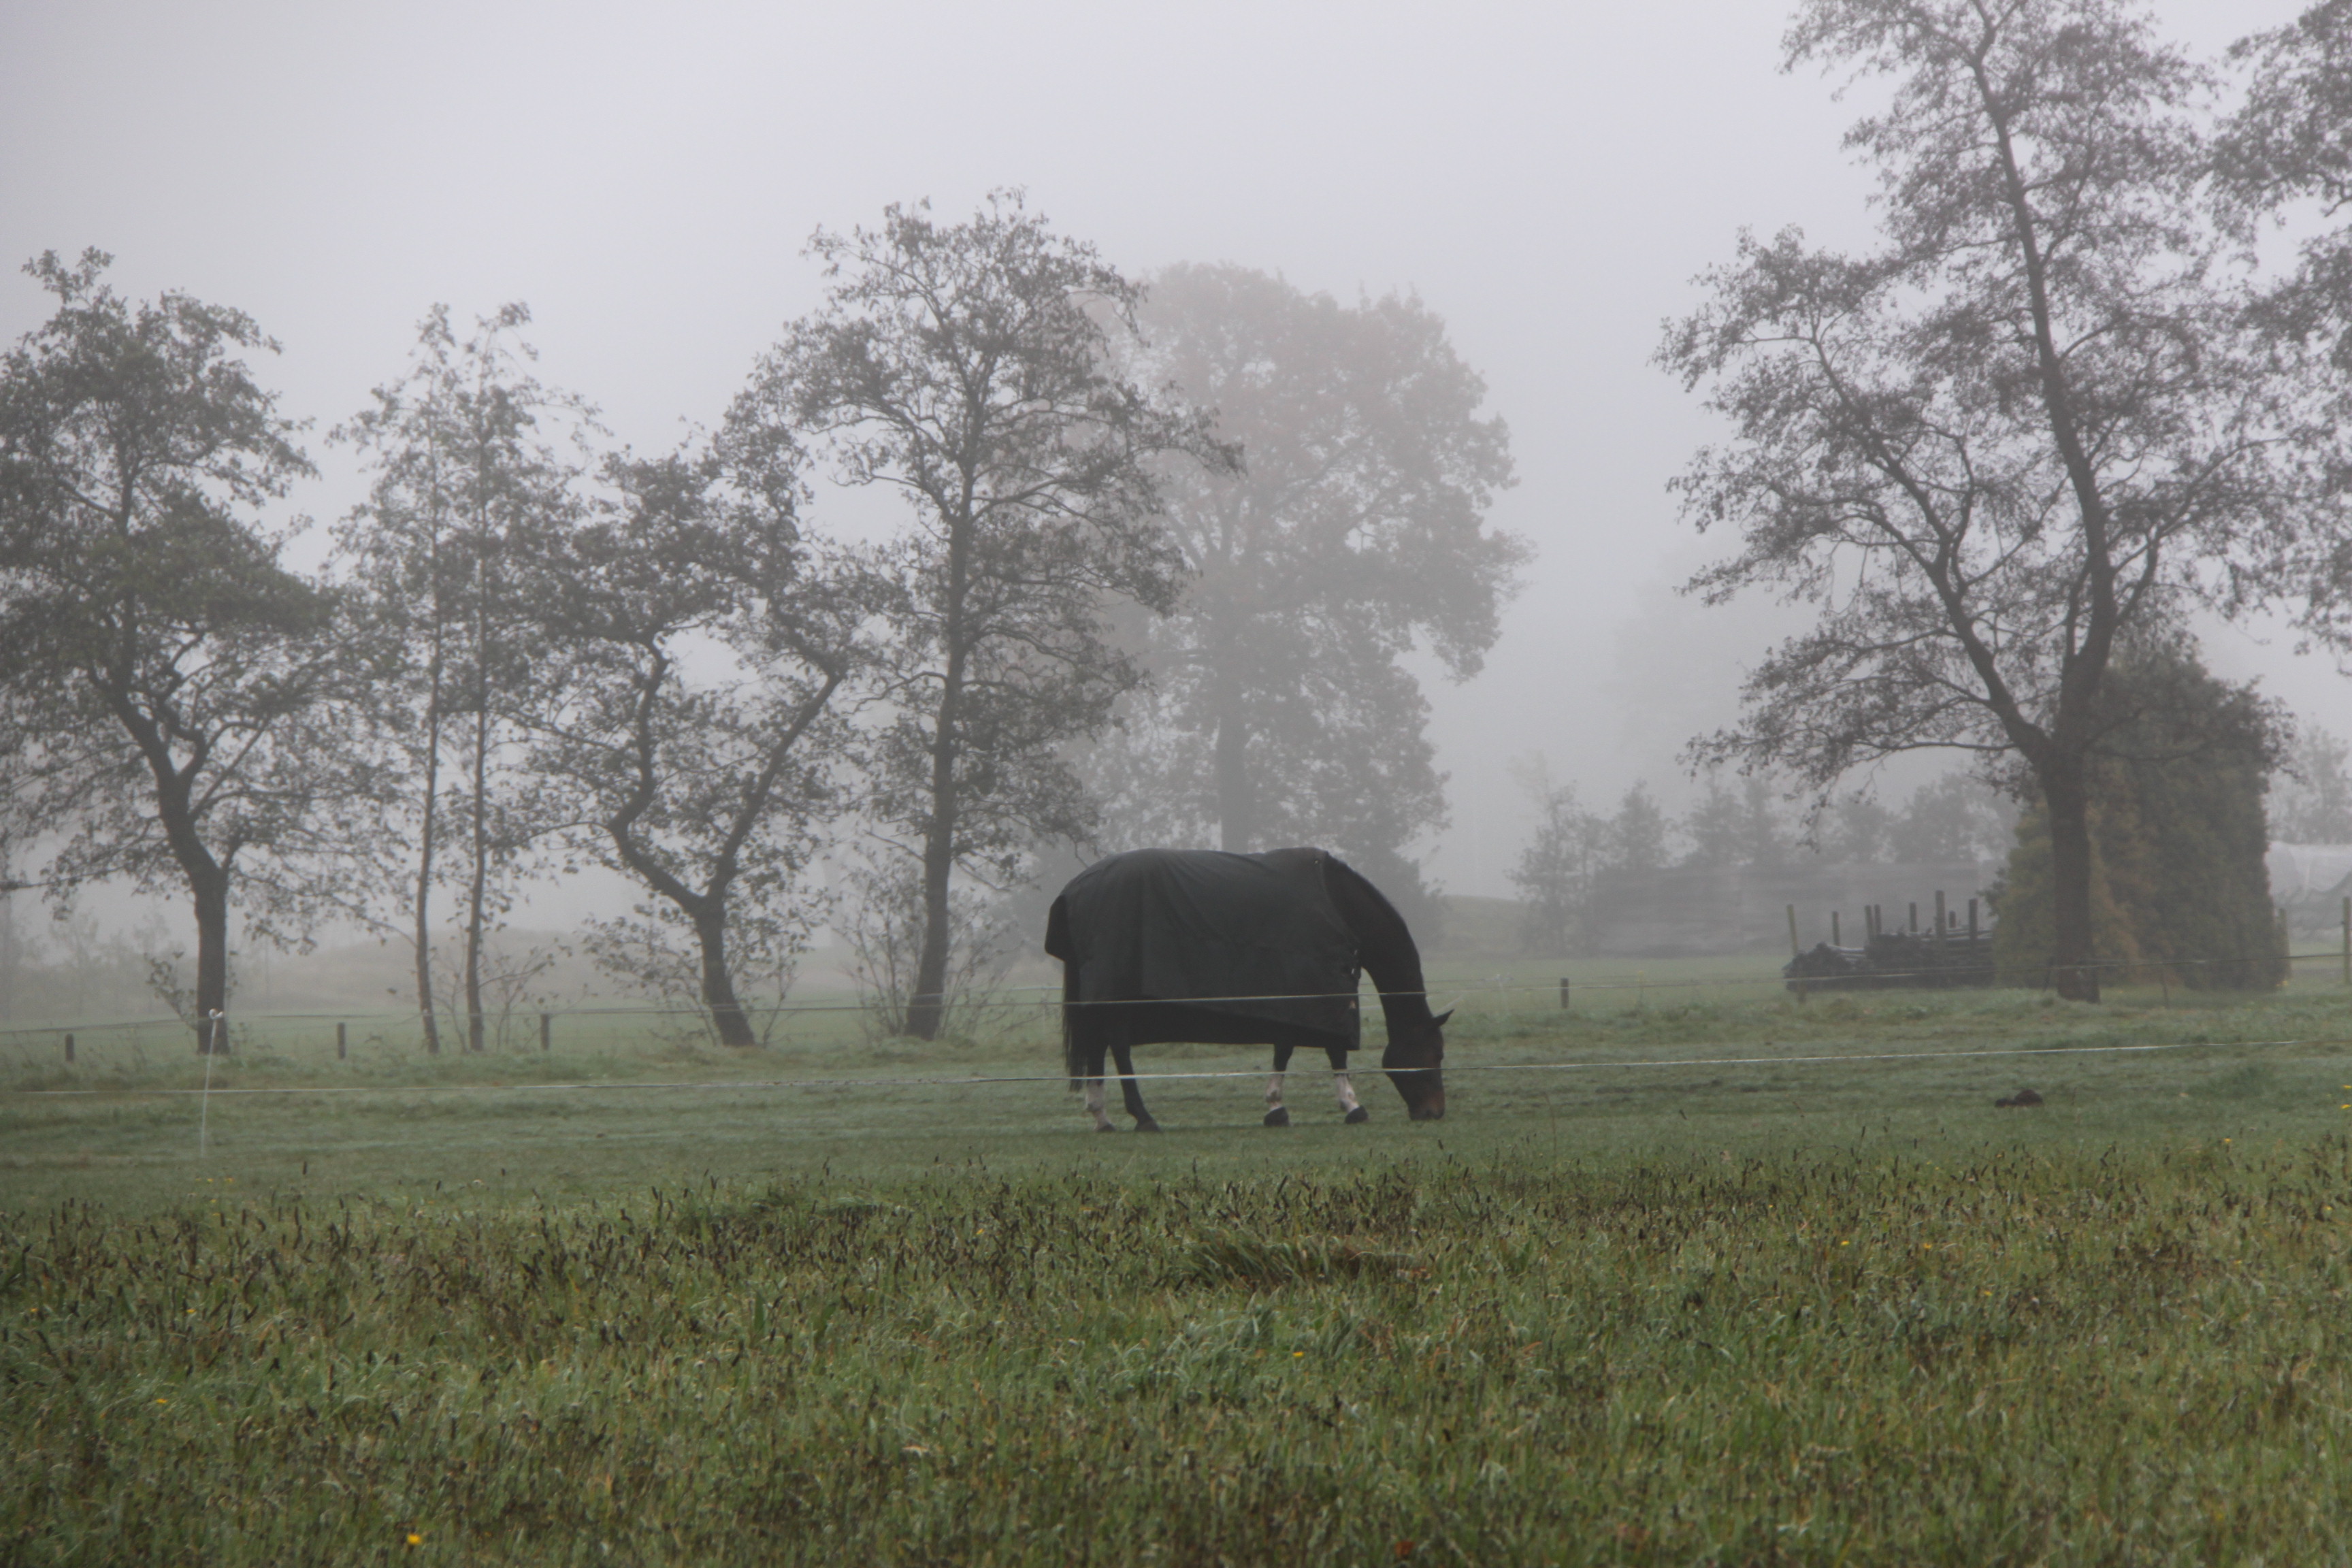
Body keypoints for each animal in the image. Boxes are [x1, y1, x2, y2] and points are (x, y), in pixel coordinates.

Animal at [1043, 847, 1451, 1131]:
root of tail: (1073, 890)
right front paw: (1351, 1106)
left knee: (1097, 1045)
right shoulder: (1323, 993)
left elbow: (1286, 1049)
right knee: (1119, 1047)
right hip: (1116, 998)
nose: (1434, 1112)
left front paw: (1276, 1109)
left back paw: (1102, 1117)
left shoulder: (1295, 999)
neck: (1340, 906)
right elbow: (1333, 1052)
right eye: (1436, 1053)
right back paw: (1143, 1117)